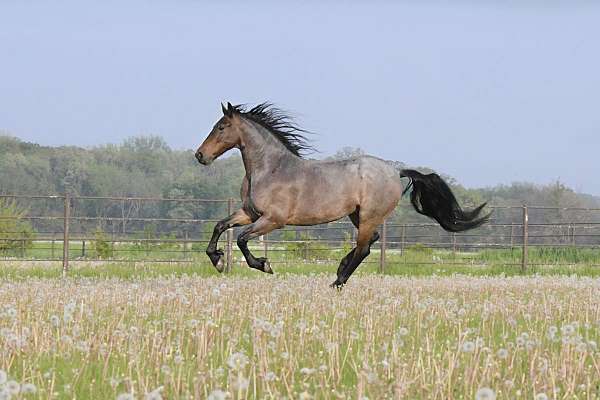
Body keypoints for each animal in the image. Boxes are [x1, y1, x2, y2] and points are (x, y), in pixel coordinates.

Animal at [195, 101, 490, 286]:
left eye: (221, 127)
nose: (200, 155)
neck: (271, 169)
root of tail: (395, 171)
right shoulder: (249, 213)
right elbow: (220, 226)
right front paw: (217, 260)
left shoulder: (273, 220)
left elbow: (242, 240)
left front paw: (264, 264)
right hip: (357, 215)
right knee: (369, 242)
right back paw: (339, 269)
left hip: (368, 215)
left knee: (363, 248)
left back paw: (337, 281)